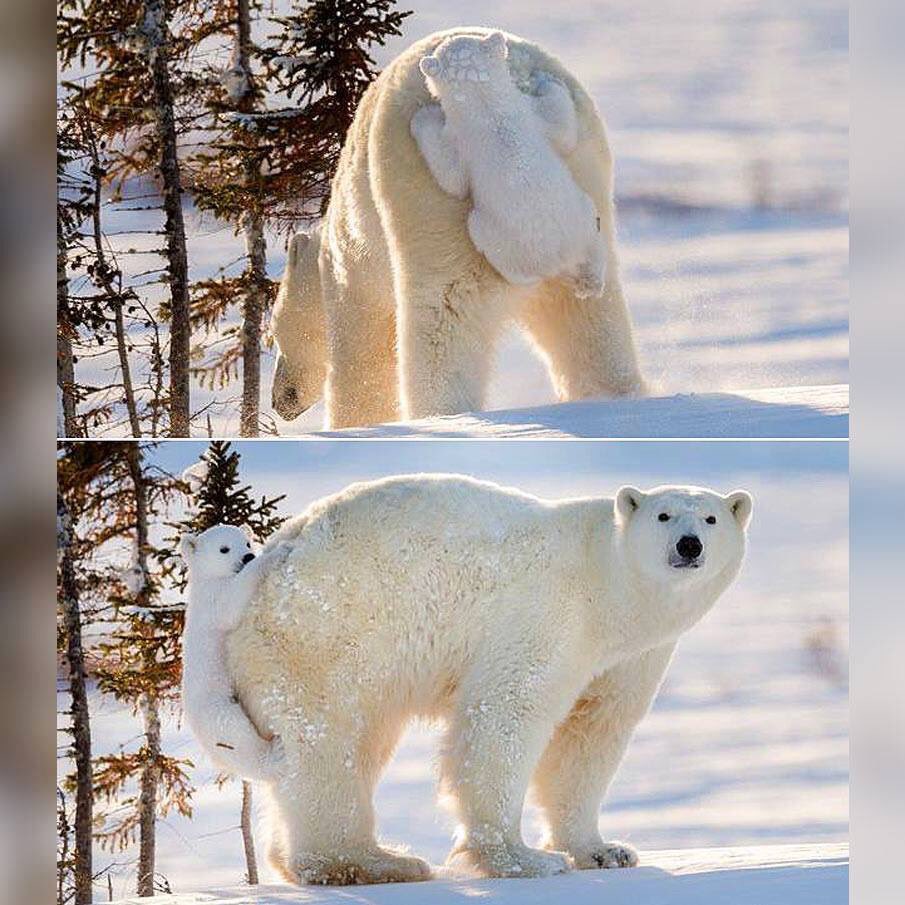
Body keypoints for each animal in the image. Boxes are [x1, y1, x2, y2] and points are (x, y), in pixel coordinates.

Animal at [179, 524, 292, 783]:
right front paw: (278, 551)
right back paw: (276, 756)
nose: (248, 556)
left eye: (247, 542)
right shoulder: (213, 600)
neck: (205, 580)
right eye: (224, 549)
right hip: (216, 706)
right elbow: (231, 602)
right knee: (236, 735)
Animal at [225, 475, 752, 884]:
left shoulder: (630, 656)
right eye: (663, 515)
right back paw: (374, 862)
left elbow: (590, 736)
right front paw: (524, 859)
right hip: (324, 637)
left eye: (711, 519)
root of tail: (272, 559)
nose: (689, 545)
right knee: (330, 745)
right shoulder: (547, 614)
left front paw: (604, 851)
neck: (609, 587)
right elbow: (507, 714)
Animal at [411, 32, 607, 298]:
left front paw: (422, 116)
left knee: (482, 234)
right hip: (582, 218)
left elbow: (453, 179)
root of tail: (560, 258)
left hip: (499, 237)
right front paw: (546, 79)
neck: (489, 110)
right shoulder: (530, 115)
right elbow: (562, 130)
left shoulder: (463, 139)